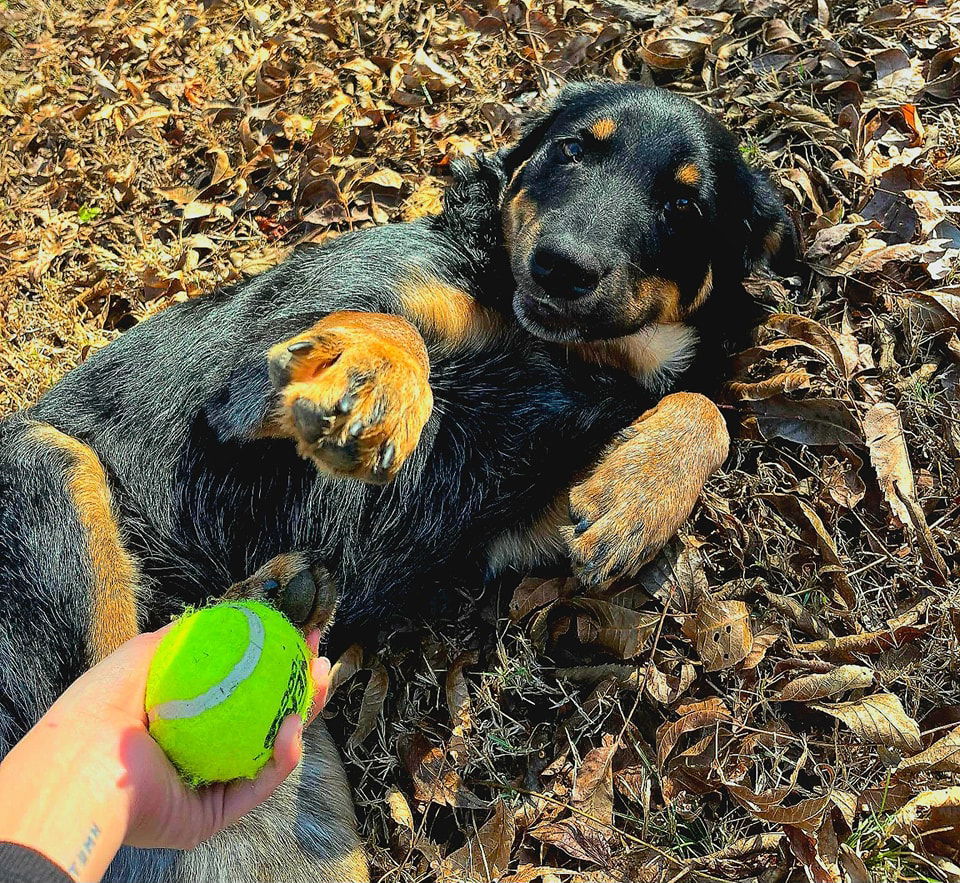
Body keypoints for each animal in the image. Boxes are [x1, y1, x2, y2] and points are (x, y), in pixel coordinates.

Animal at [0, 79, 788, 880]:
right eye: (572, 148)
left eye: (685, 207)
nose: (561, 267)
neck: (563, 355)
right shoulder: (246, 381)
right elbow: (391, 326)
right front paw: (378, 378)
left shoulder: (512, 517)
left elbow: (704, 412)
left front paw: (638, 492)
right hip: (44, 460)